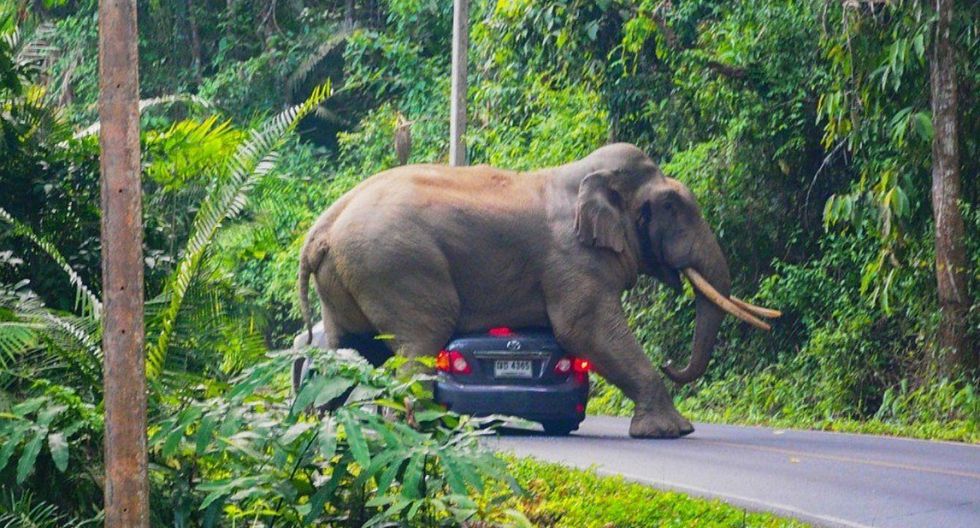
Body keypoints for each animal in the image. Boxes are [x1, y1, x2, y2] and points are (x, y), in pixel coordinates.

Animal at [297, 143, 779, 438]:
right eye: (672, 206)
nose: (671, 362)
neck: (585, 175)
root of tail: (320, 229)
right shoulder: (572, 259)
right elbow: (585, 330)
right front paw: (673, 432)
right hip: (397, 267)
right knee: (419, 340)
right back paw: (416, 429)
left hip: (349, 278)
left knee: (351, 348)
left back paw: (332, 425)